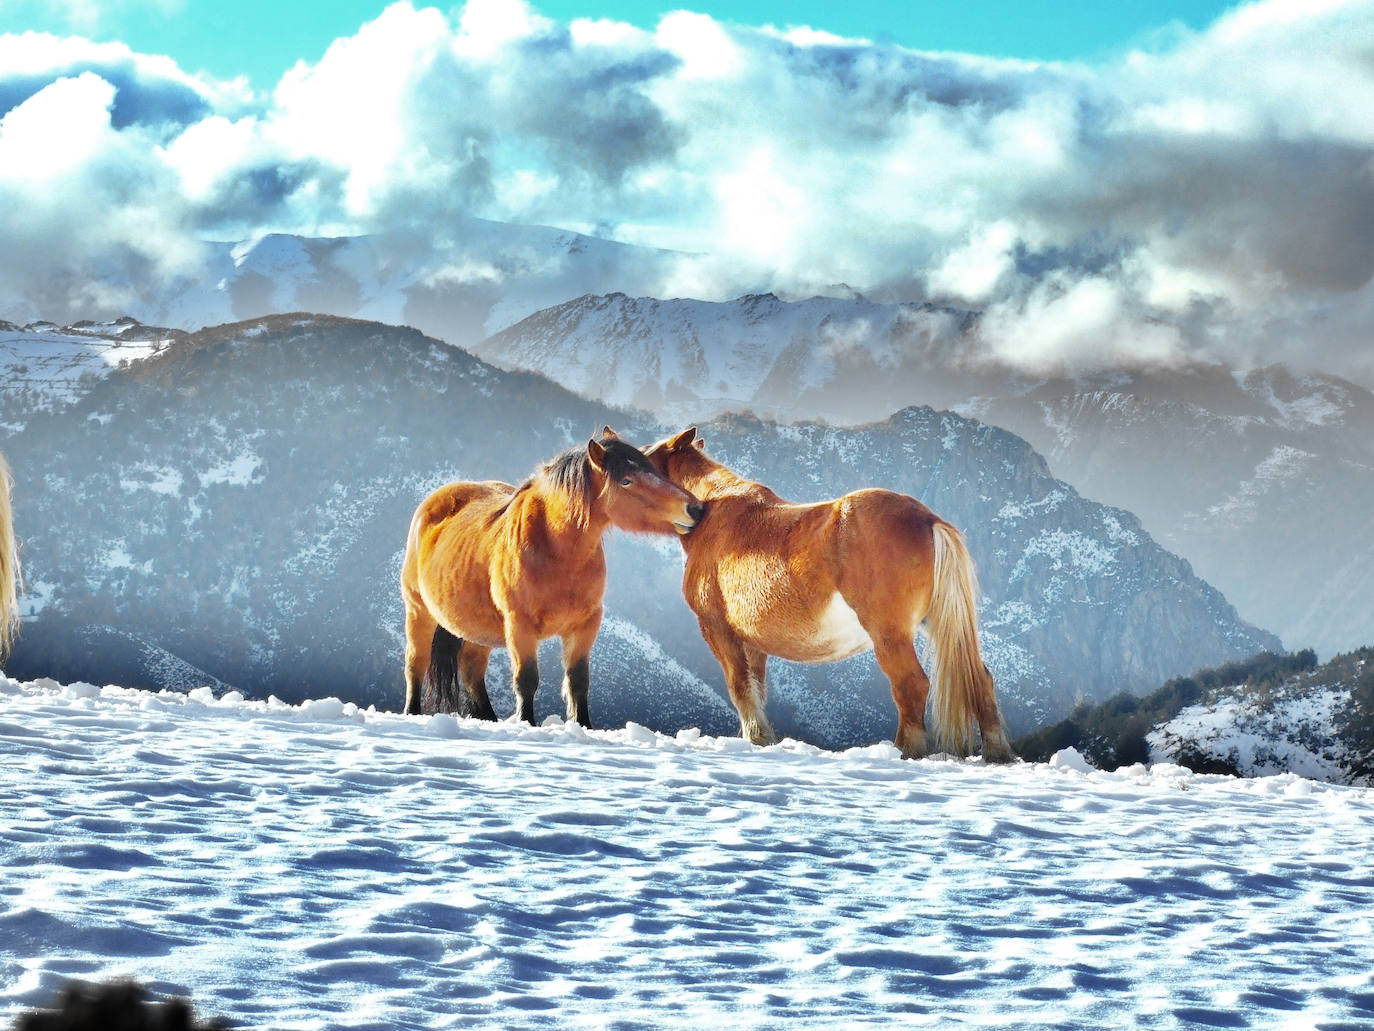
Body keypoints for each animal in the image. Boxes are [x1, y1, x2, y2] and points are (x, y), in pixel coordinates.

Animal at [395, 431, 697, 731]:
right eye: (626, 480)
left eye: (655, 470)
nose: (694, 508)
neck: (553, 548)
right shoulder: (520, 626)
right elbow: (526, 679)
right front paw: (528, 723)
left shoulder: (585, 625)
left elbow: (578, 680)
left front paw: (583, 725)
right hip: (418, 611)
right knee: (416, 664)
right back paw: (412, 712)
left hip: (478, 628)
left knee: (471, 669)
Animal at [637, 428, 1016, 769]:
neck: (713, 512)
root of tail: (928, 519)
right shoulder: (753, 642)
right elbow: (755, 687)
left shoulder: (718, 629)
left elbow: (739, 685)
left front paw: (756, 737)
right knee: (980, 680)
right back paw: (998, 754)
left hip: (890, 636)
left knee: (911, 685)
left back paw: (906, 752)